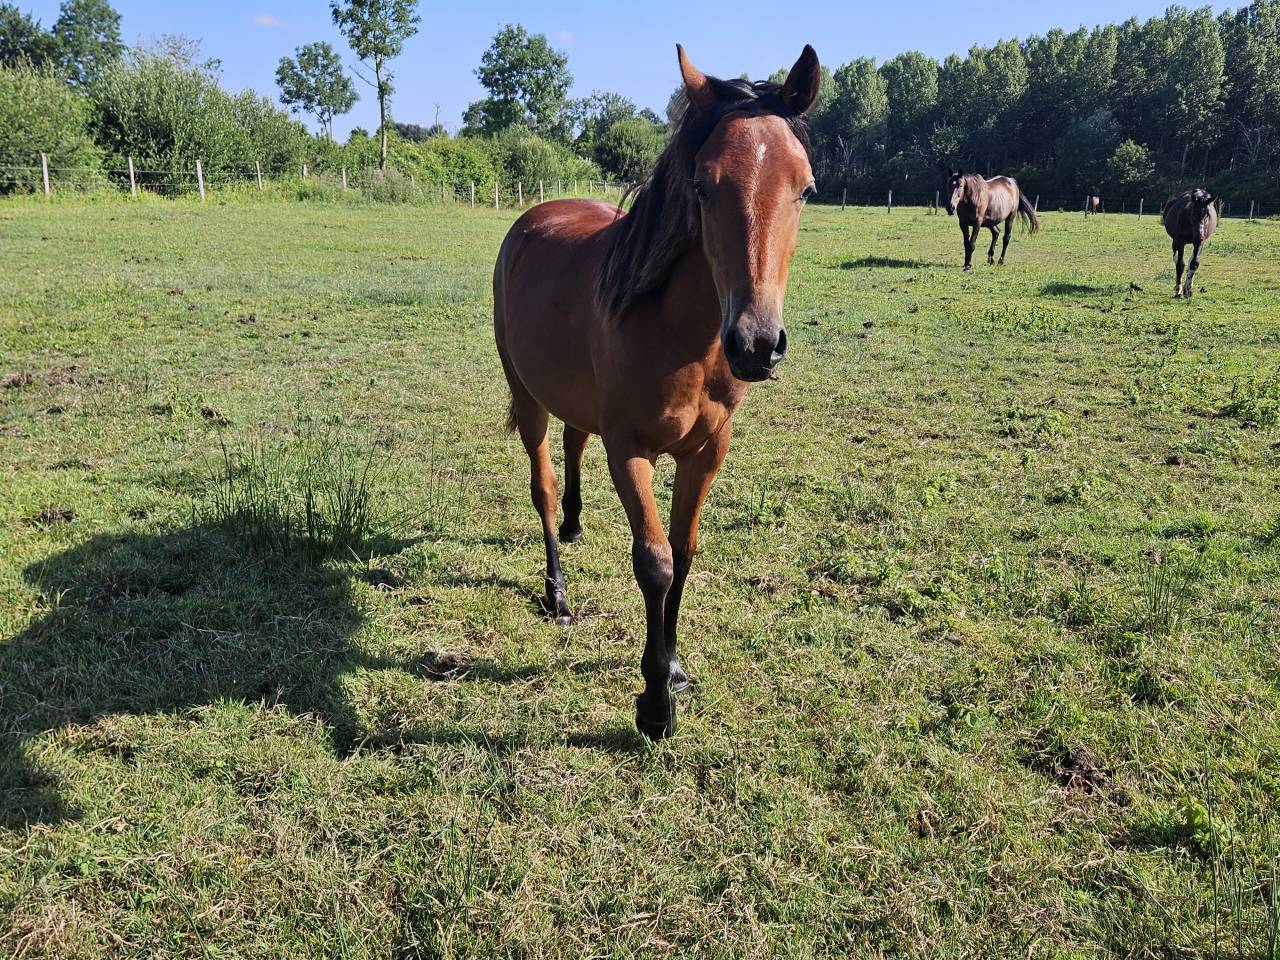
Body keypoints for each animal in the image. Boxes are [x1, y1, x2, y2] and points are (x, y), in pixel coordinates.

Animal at [492, 45, 821, 740]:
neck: (682, 336)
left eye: (805, 189)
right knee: (543, 483)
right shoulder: (630, 450)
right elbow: (656, 563)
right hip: (527, 398)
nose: (756, 343)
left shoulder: (708, 451)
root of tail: (533, 217)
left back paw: (575, 525)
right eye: (702, 185)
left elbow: (686, 552)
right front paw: (653, 704)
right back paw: (557, 591)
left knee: (573, 441)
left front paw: (671, 668)